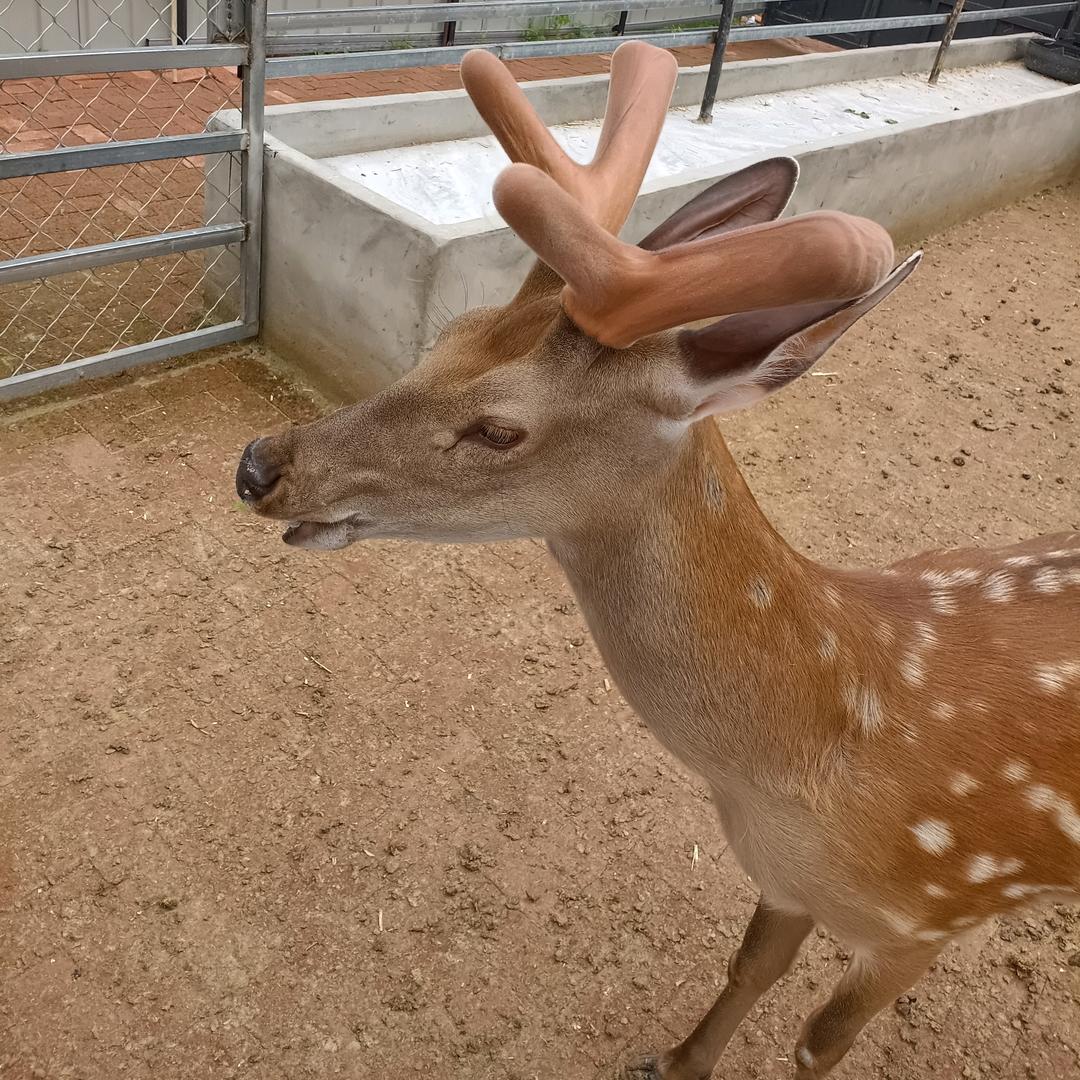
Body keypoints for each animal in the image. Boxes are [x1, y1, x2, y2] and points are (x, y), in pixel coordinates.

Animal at [234, 41, 1080, 1080]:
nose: (259, 465)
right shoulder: (784, 882)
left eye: (499, 428)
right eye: (451, 333)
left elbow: (818, 1045)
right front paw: (674, 1064)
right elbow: (748, 967)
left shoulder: (931, 915)